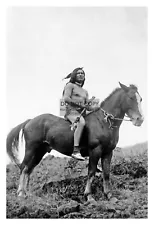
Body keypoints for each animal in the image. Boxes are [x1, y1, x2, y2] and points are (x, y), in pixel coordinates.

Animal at [6, 82, 143, 202]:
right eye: (131, 97)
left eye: (140, 99)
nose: (140, 119)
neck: (104, 122)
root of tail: (30, 121)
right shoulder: (95, 151)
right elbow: (91, 172)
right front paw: (89, 196)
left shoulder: (108, 152)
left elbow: (106, 174)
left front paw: (109, 195)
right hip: (31, 149)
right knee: (23, 167)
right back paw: (20, 193)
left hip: (40, 152)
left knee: (28, 169)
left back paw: (25, 193)